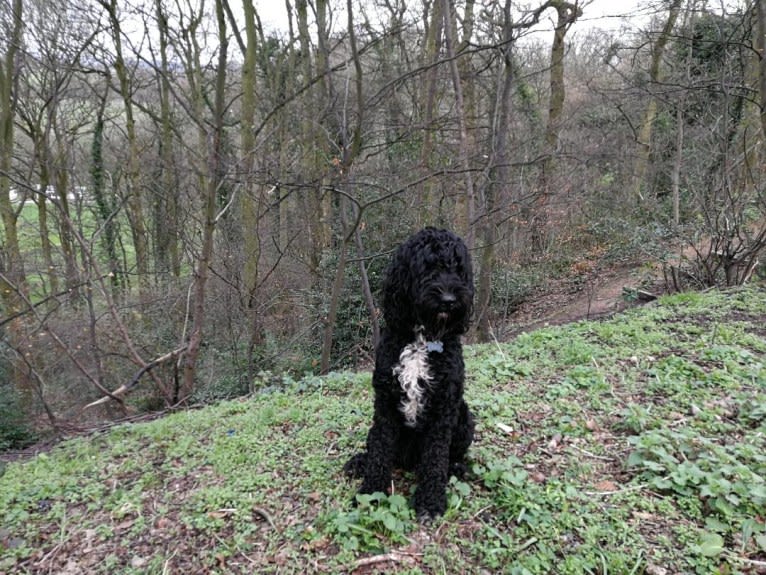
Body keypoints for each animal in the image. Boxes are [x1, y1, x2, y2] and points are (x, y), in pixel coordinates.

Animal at [346, 227, 476, 520]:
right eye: (427, 267)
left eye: (458, 268)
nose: (450, 300)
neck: (421, 338)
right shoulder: (385, 404)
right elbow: (380, 451)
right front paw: (370, 492)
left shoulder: (444, 408)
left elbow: (435, 458)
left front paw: (430, 501)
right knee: (377, 447)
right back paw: (359, 462)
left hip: (464, 417)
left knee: (449, 456)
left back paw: (456, 468)